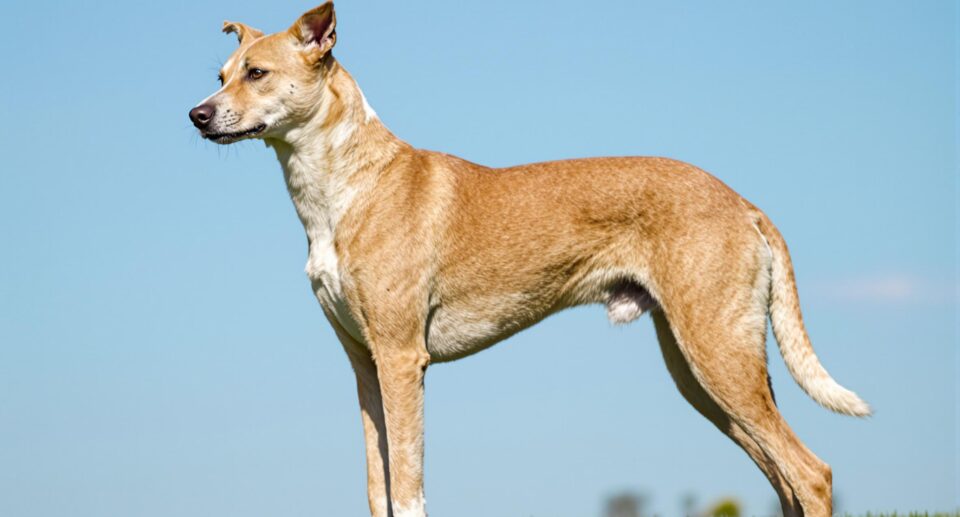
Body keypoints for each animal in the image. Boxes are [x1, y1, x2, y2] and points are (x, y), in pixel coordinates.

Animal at [188, 3, 872, 512]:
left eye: (256, 73)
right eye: (220, 74)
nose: (196, 114)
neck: (343, 188)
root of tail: (744, 202)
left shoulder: (403, 360)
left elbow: (407, 487)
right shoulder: (364, 365)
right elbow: (377, 490)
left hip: (717, 355)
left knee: (811, 472)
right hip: (701, 372)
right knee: (784, 476)